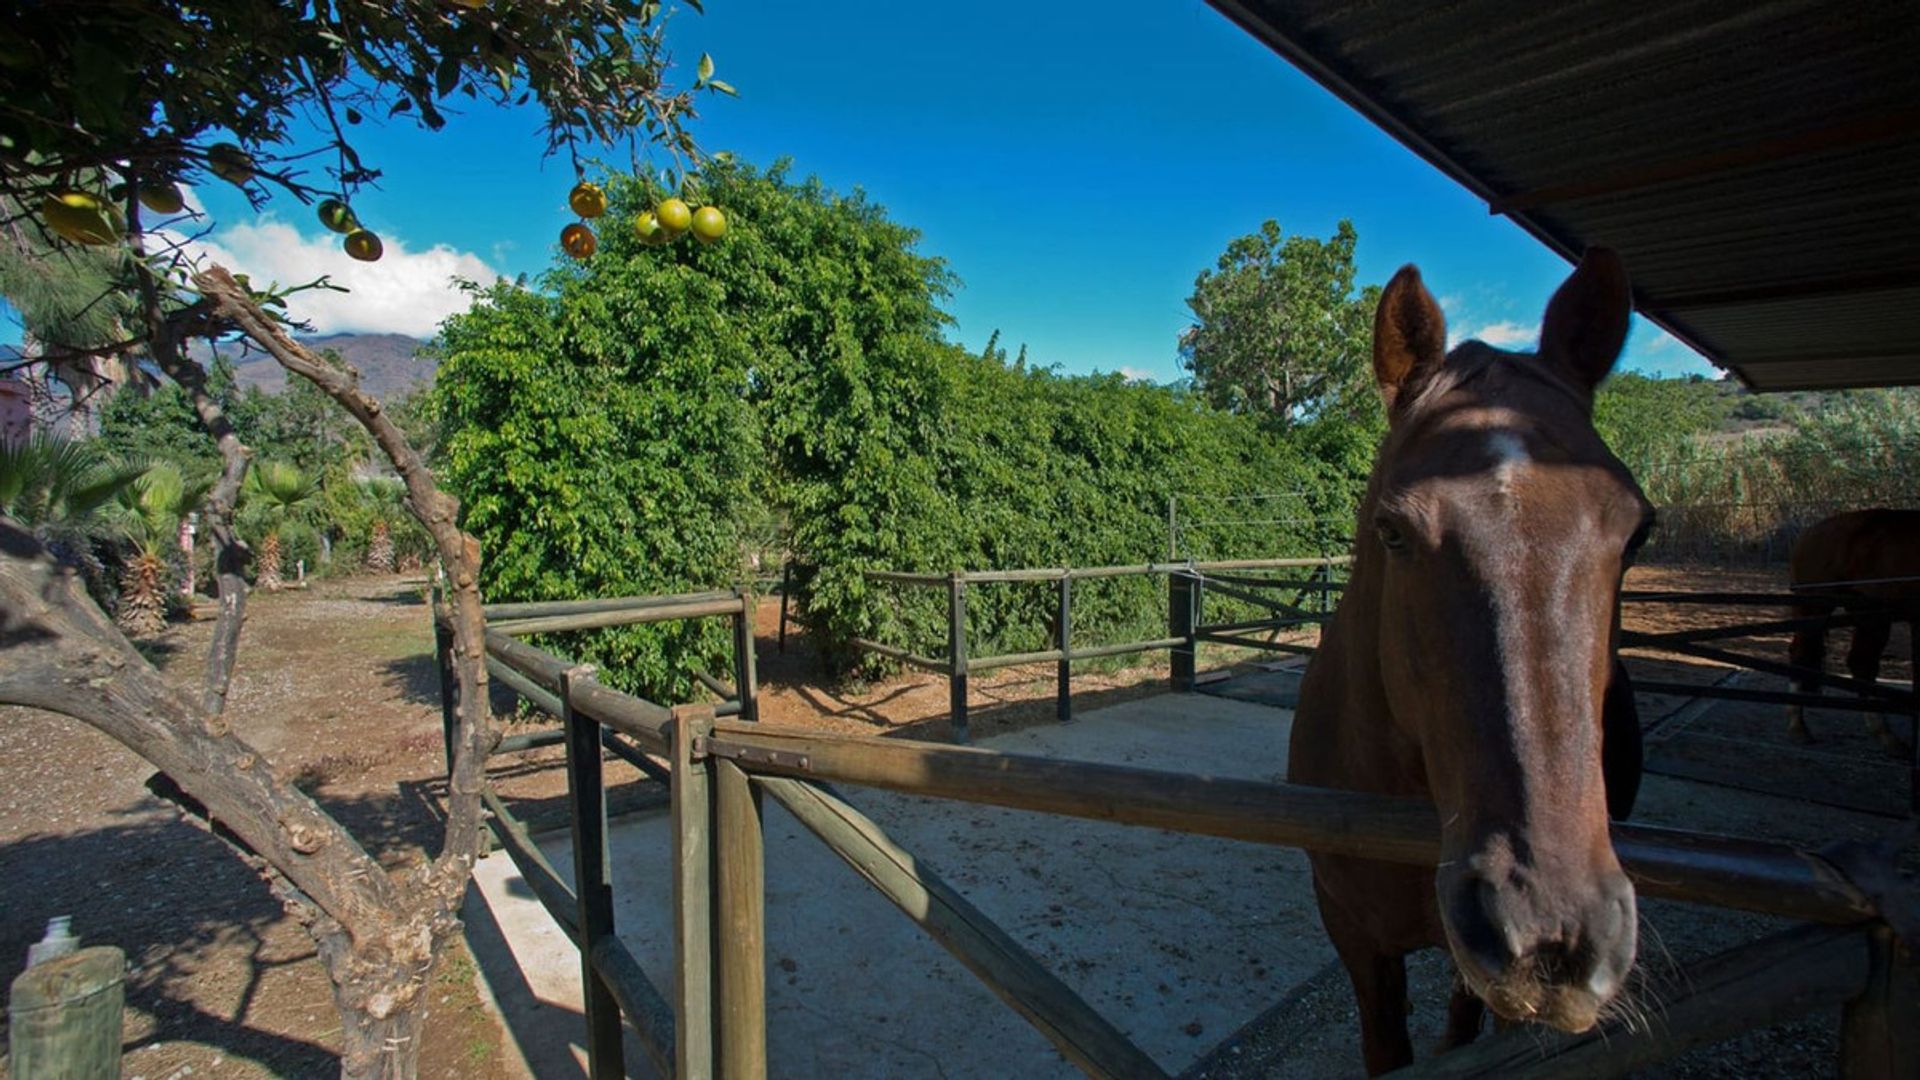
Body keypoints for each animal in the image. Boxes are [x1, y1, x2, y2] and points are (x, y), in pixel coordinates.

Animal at [1781, 507, 1920, 753]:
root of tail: (1809, 532)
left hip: (1867, 614)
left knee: (1861, 663)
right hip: (1819, 607)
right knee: (1804, 654)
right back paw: (1798, 727)